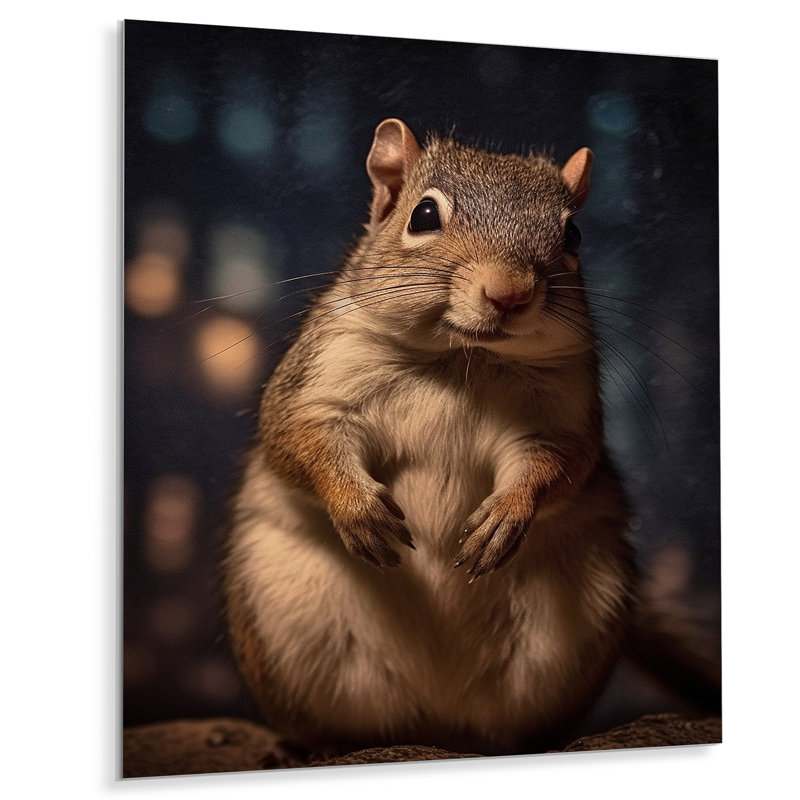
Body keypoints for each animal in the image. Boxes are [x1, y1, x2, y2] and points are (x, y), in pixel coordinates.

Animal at [222, 118, 716, 758]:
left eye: (573, 233)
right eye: (424, 215)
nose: (509, 294)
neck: (462, 361)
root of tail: (437, 719)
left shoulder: (561, 414)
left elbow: (560, 464)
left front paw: (505, 515)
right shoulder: (318, 380)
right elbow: (299, 438)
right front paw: (357, 509)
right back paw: (315, 746)